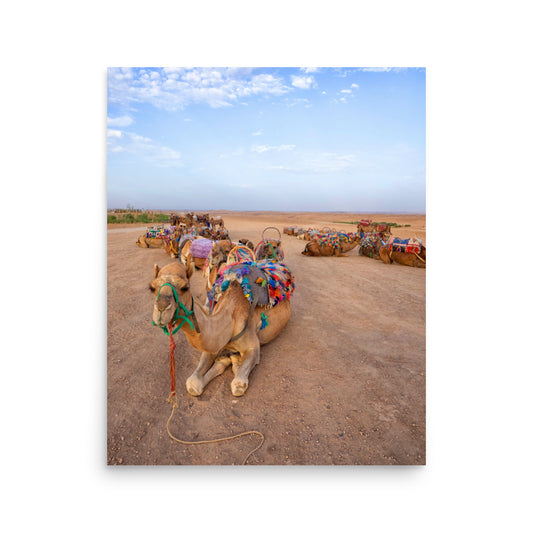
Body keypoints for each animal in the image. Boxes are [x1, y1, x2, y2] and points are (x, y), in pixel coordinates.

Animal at [149, 258, 290, 394]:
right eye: (152, 288)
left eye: (185, 287)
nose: (162, 307)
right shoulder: (212, 346)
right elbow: (193, 385)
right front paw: (228, 360)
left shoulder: (253, 346)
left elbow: (238, 386)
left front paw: (234, 362)